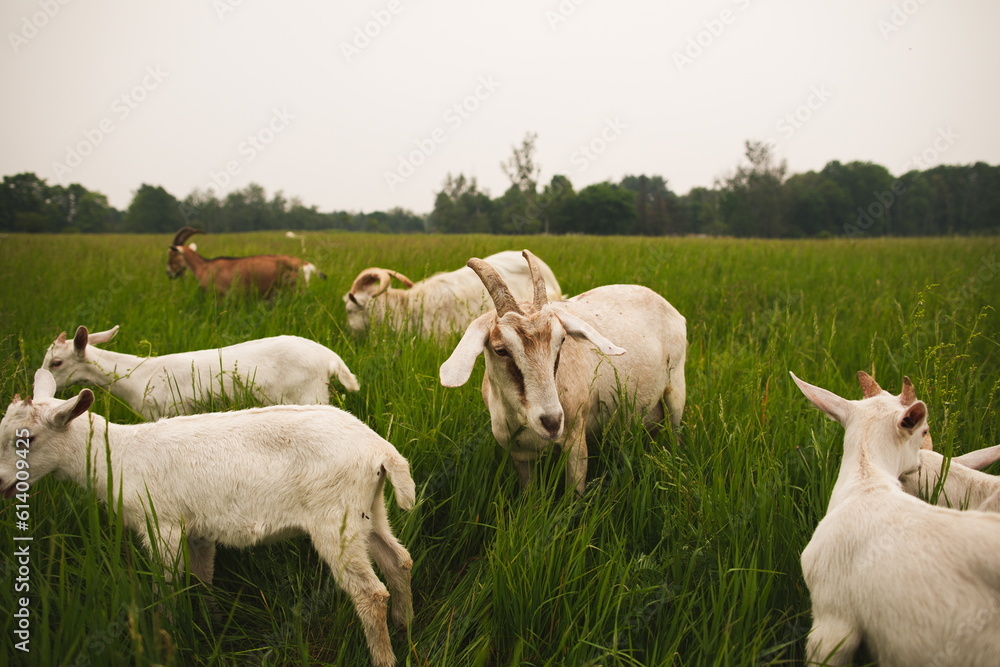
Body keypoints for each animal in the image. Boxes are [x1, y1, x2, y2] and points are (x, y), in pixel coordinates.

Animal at [0, 369, 413, 667]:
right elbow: (201, 580)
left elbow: (166, 585)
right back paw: (405, 627)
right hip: (368, 511)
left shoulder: (162, 525)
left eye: (27, 439)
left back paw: (385, 657)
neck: (117, 455)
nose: (2, 483)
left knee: (370, 593)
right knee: (399, 561)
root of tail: (380, 449)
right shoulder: (198, 530)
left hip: (335, 519)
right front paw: (213, 625)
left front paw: (164, 636)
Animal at [42, 325, 359, 420]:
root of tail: (329, 358)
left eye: (56, 363)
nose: (40, 382)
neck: (136, 376)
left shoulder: (164, 412)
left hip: (309, 395)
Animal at [167, 227, 324, 299]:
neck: (204, 267)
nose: (168, 273)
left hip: (294, 290)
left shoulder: (220, 295)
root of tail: (305, 264)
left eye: (171, 254)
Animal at [440, 250, 686, 496]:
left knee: (676, 430)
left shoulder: (576, 442)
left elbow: (574, 496)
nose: (552, 422)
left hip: (676, 389)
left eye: (562, 340)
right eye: (500, 350)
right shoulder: (520, 455)